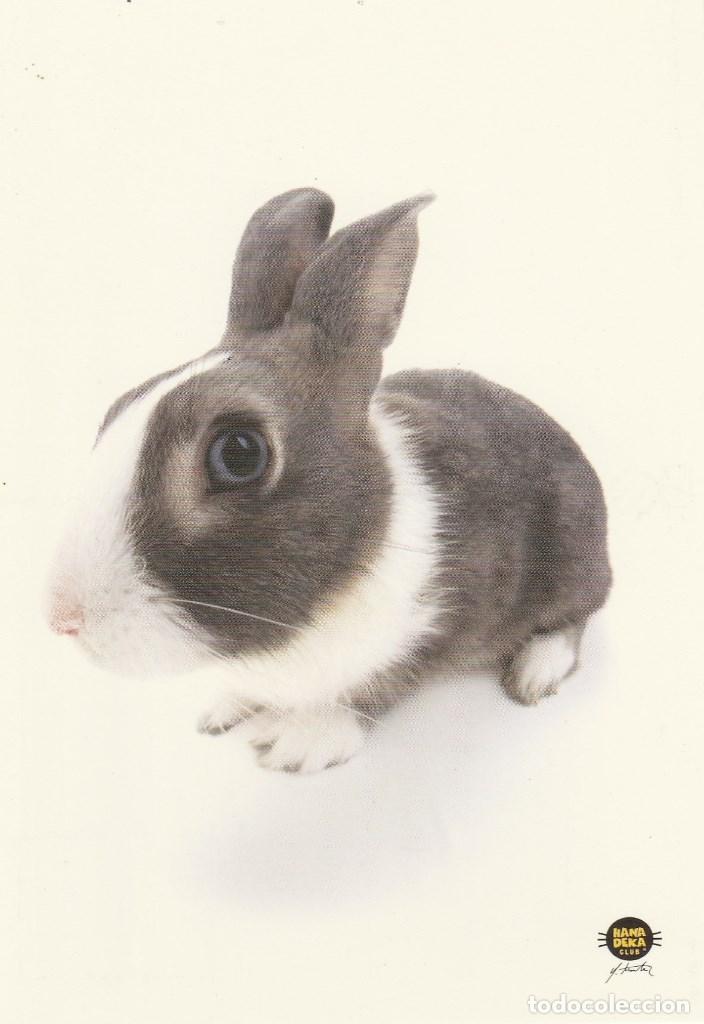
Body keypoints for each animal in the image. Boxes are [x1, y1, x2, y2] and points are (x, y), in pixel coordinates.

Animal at [47, 188, 611, 773]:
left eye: (239, 454)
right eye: (117, 407)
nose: (63, 619)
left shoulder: (425, 632)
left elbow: (369, 690)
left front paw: (296, 746)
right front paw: (222, 711)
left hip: (573, 557)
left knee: (576, 617)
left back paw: (536, 672)